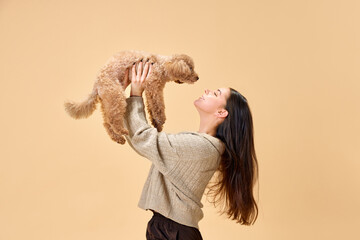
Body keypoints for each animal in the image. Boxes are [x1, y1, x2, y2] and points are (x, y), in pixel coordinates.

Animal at [64, 49, 200, 144]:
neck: (162, 65)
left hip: (108, 99)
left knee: (106, 122)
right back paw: (122, 131)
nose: (198, 77)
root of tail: (96, 84)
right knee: (113, 118)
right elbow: (158, 105)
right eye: (190, 68)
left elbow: (151, 107)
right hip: (116, 95)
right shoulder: (154, 87)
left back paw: (118, 138)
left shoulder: (150, 89)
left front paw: (156, 124)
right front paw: (160, 120)